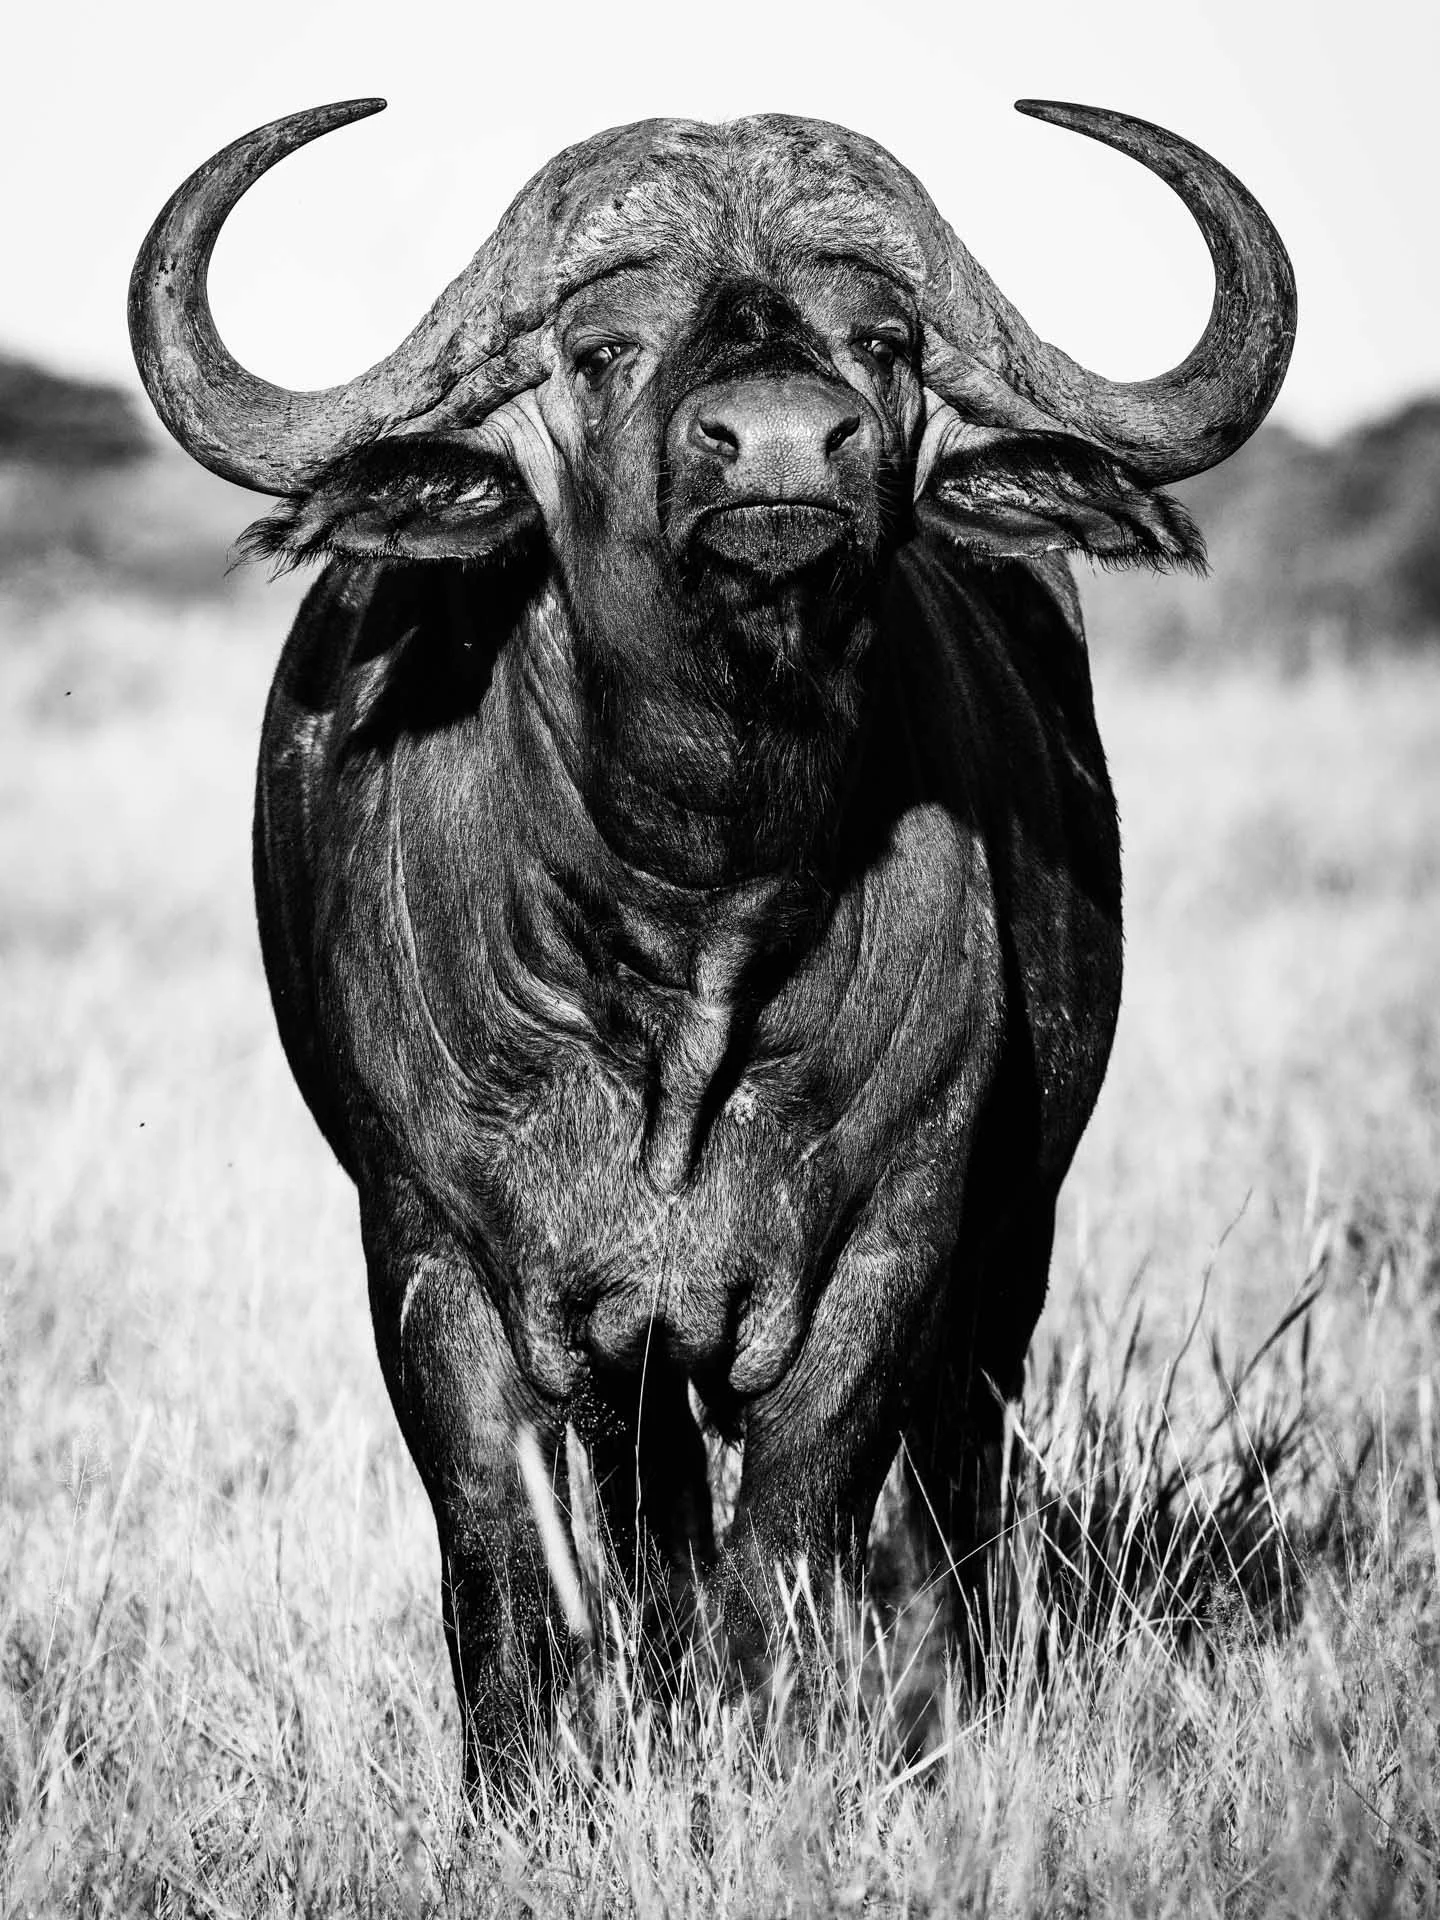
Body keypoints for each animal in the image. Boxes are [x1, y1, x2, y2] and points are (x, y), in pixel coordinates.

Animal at [129, 99, 1294, 1788]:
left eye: (882, 339)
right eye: (603, 349)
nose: (789, 449)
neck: (694, 924)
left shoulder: (899, 1237)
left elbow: (795, 1534)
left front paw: (777, 1745)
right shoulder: (436, 1256)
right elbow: (504, 1550)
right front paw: (529, 1786)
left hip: (1014, 1244)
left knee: (957, 1483)